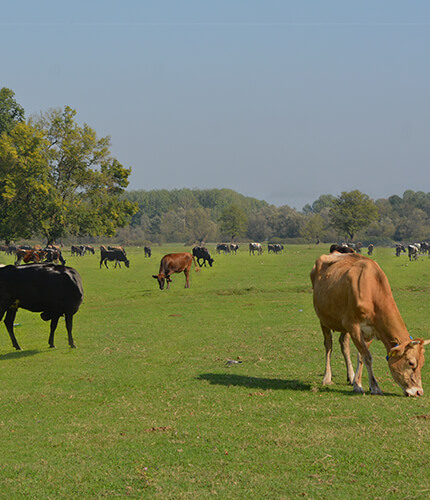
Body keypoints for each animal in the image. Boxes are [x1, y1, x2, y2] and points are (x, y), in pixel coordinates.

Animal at [310, 254, 428, 398]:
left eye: (422, 363)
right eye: (411, 363)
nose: (419, 392)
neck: (372, 290)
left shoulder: (370, 331)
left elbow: (361, 356)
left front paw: (357, 383)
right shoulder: (353, 325)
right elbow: (367, 357)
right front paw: (374, 387)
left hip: (343, 326)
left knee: (344, 344)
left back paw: (350, 376)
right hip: (323, 319)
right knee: (328, 345)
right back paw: (327, 377)